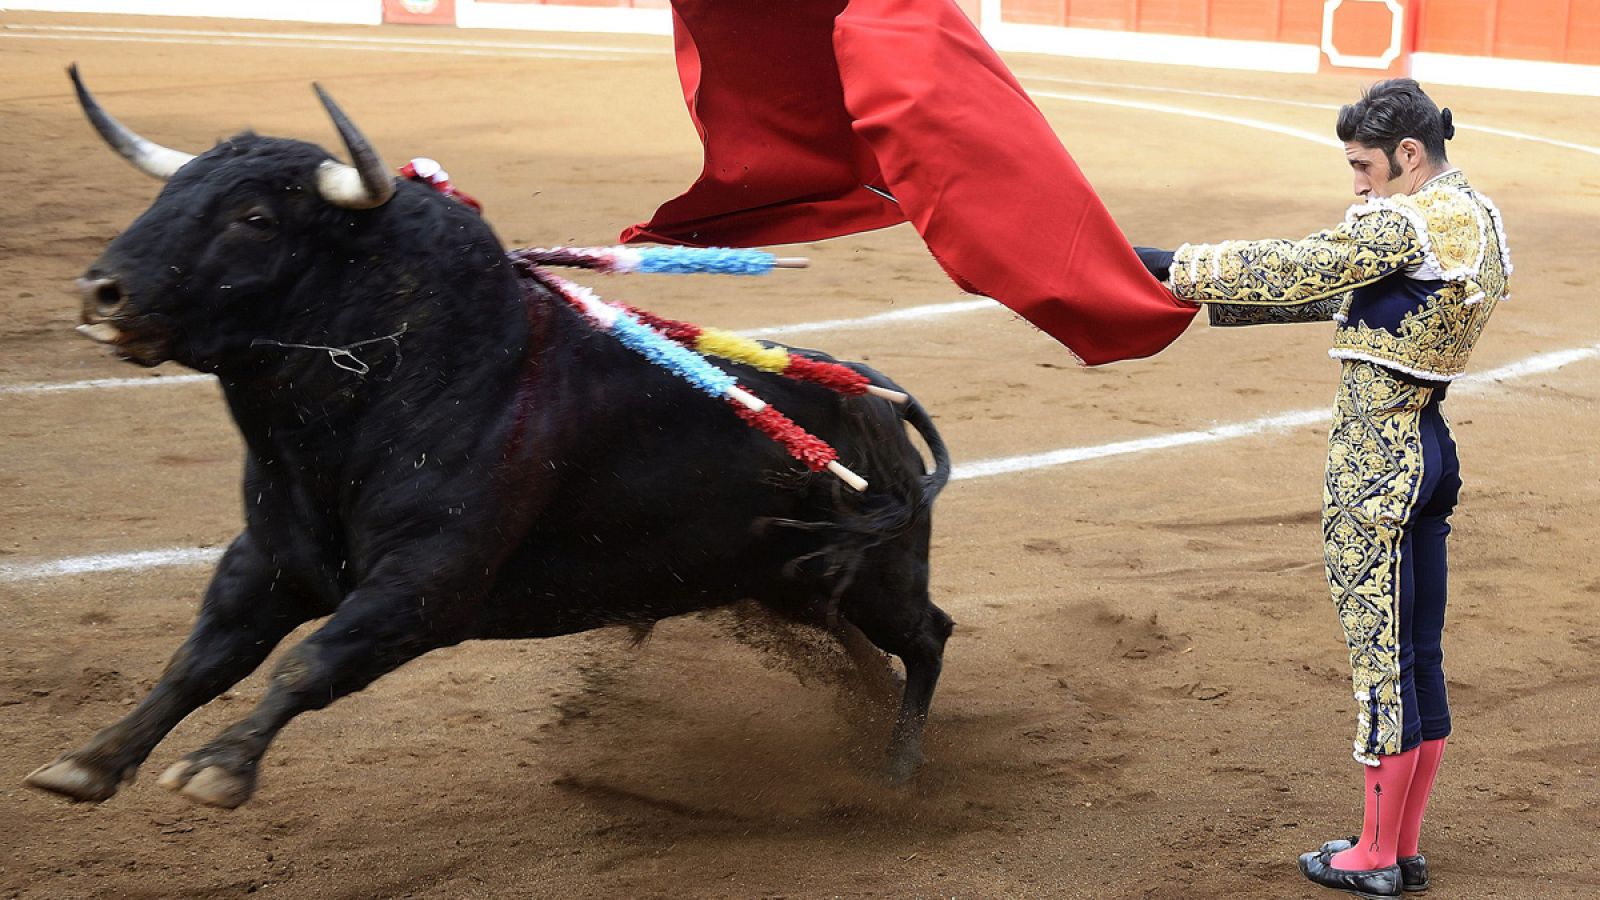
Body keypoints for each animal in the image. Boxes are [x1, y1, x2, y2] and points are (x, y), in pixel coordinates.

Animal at [28, 71, 947, 807]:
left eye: (253, 217)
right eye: (167, 193)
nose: (101, 292)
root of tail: (877, 397)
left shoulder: (425, 585)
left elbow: (307, 661)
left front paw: (220, 768)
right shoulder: (267, 560)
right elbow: (201, 659)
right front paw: (89, 762)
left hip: (880, 577)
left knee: (928, 636)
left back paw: (898, 778)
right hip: (792, 581)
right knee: (864, 649)